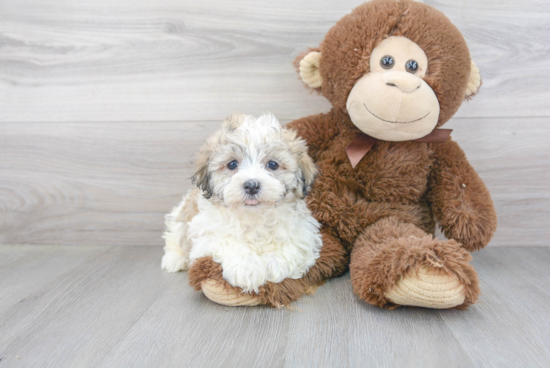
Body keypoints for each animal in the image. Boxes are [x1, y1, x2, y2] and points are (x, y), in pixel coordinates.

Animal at [160, 112, 324, 294]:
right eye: (232, 164)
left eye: (272, 164)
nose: (251, 185)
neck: (253, 216)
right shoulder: (206, 233)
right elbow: (228, 242)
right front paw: (248, 269)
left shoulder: (303, 232)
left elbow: (292, 246)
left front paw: (274, 263)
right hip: (180, 217)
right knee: (173, 237)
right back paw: (174, 259)